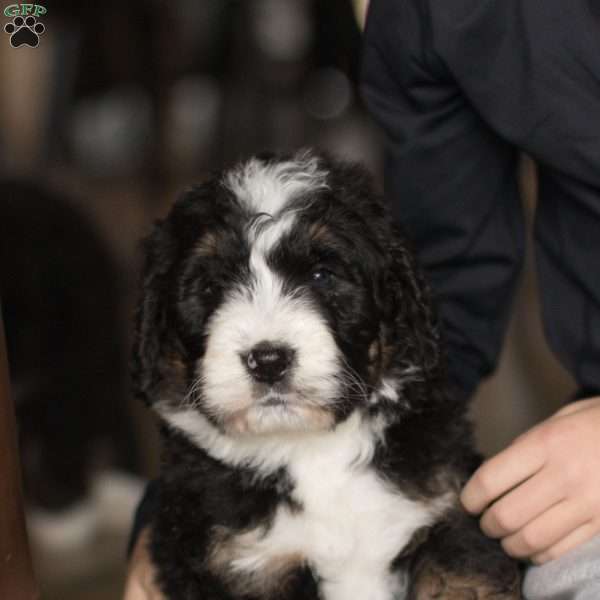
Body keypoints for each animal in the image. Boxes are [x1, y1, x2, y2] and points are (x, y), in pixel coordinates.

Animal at [132, 154, 520, 600]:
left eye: (321, 275)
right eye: (211, 286)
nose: (268, 359)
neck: (310, 451)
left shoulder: (448, 513)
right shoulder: (234, 563)